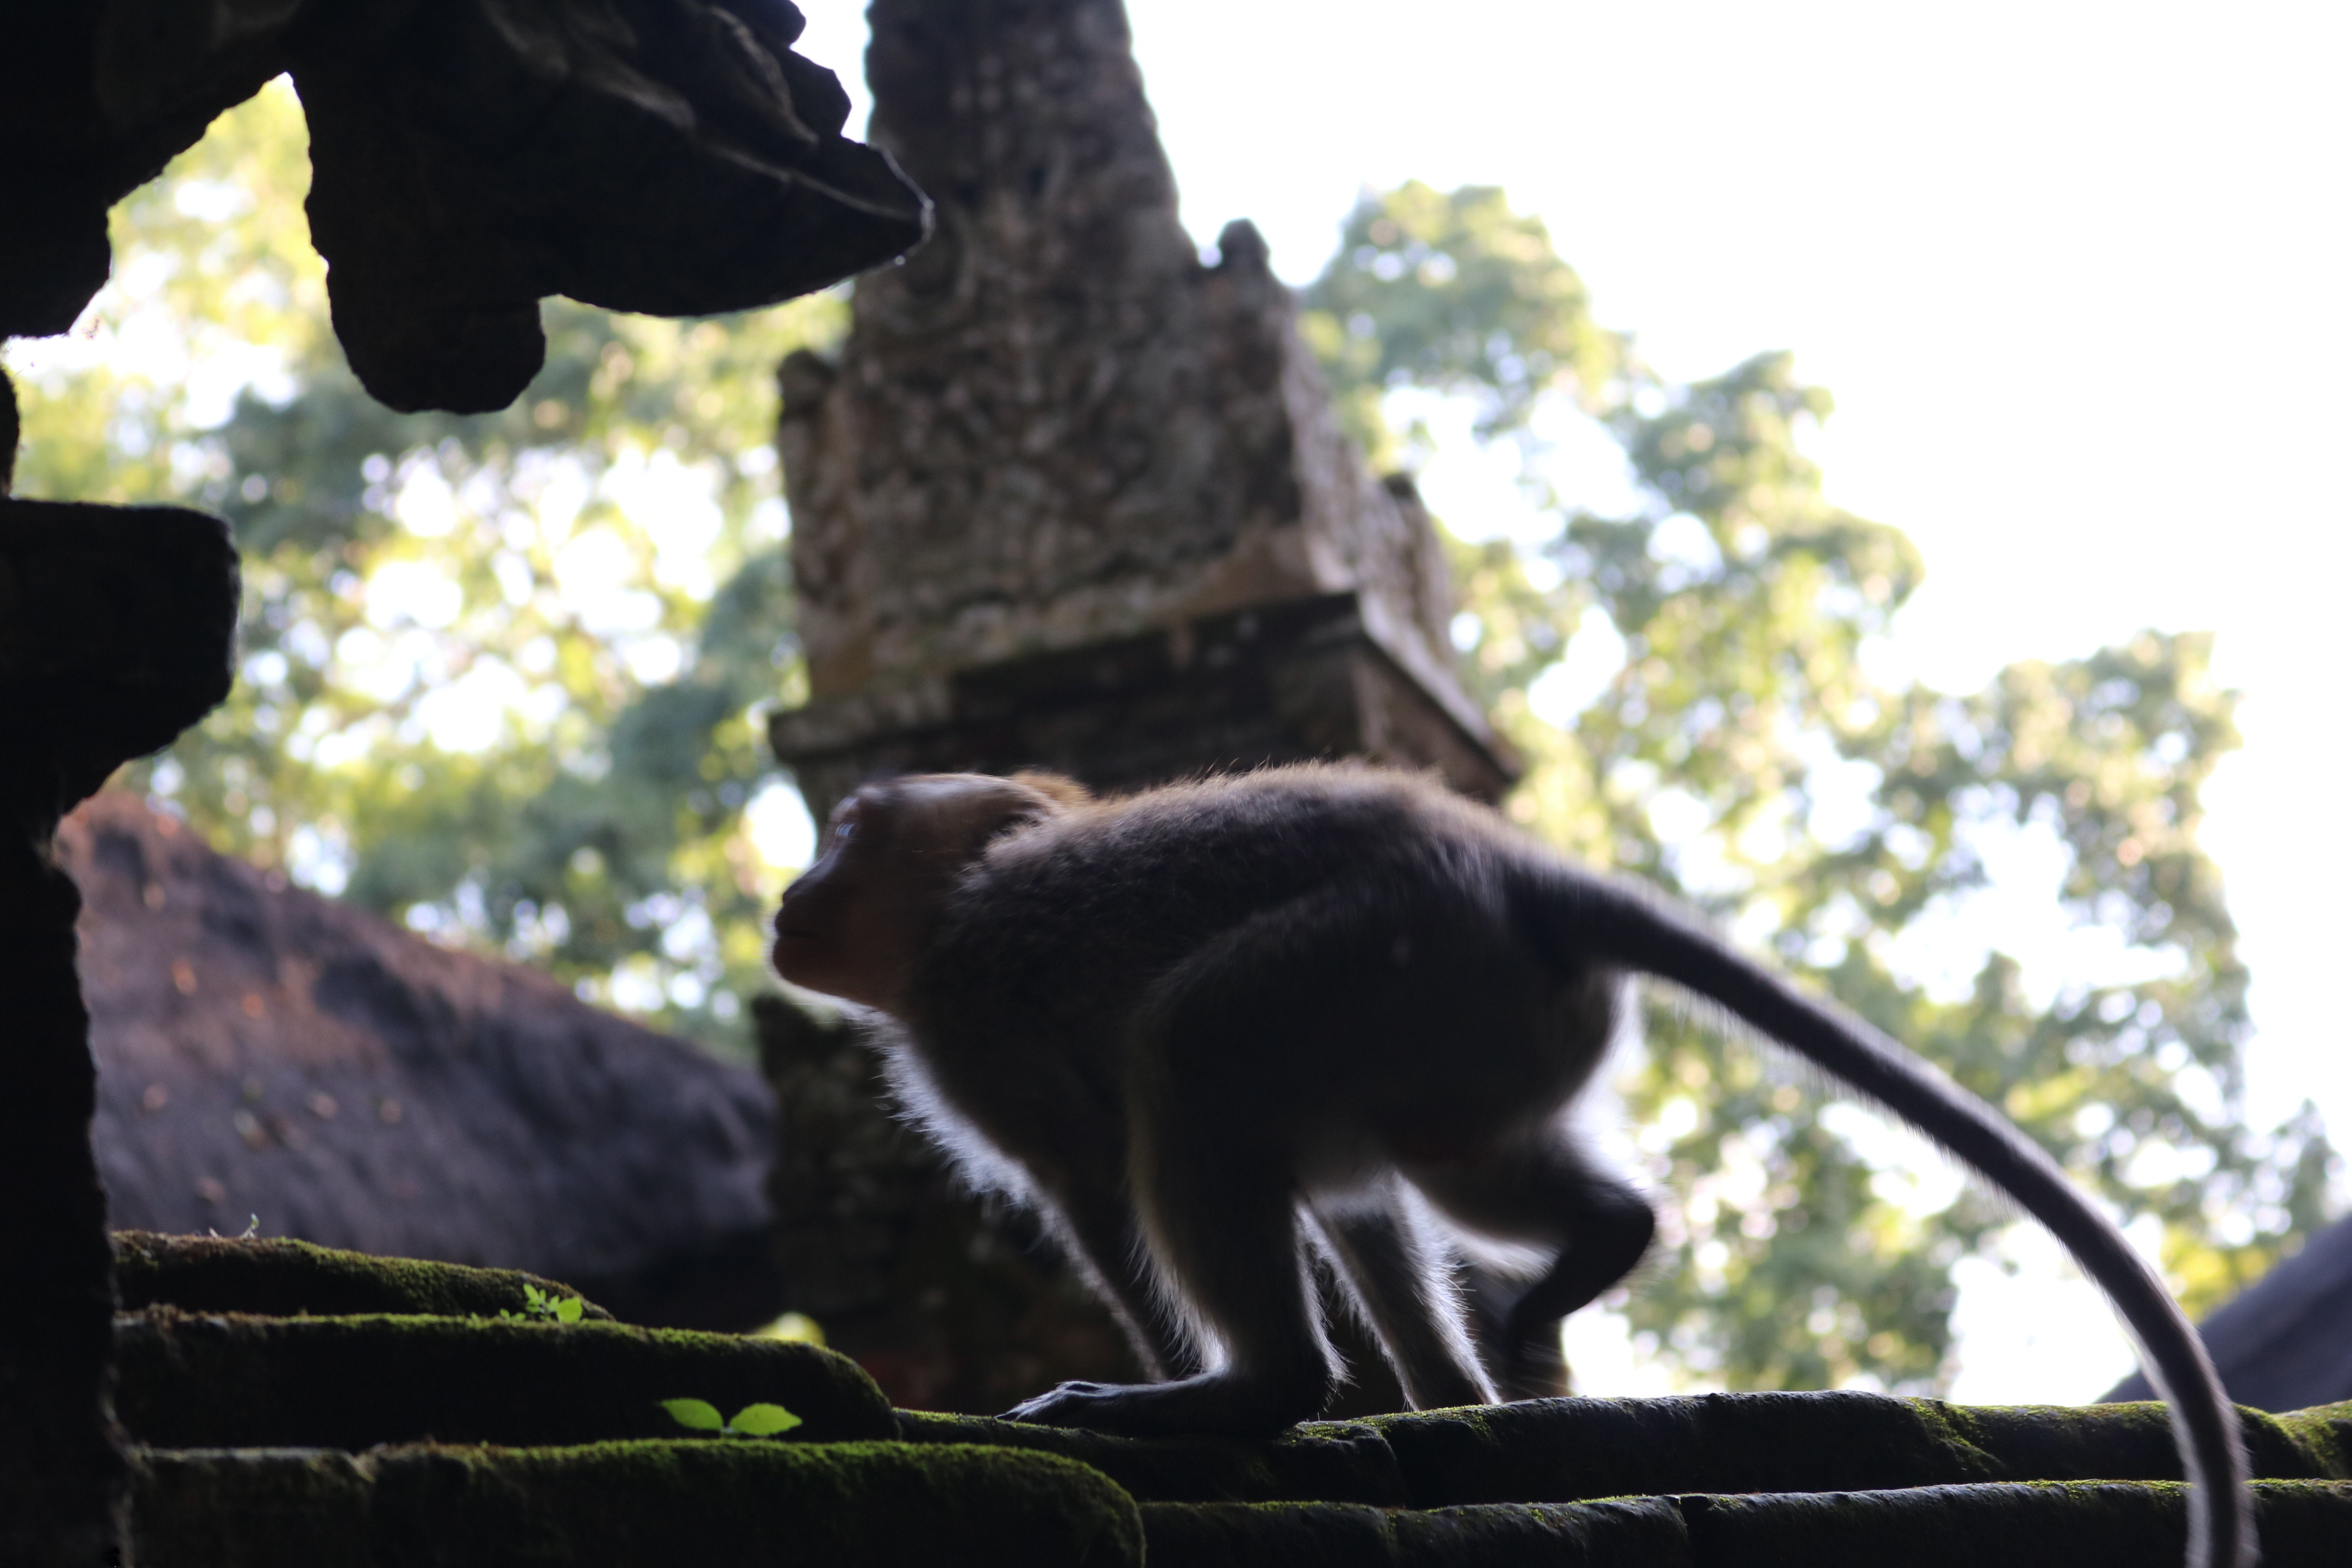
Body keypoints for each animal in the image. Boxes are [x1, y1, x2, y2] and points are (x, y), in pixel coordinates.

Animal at [770, 763, 2251, 1568]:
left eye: (844, 831)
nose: (787, 891)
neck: (944, 917)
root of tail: (1513, 868)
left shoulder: (972, 1031)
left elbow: (1095, 1187)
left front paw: (1172, 1384)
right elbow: (1357, 1205)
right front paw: (1440, 1396)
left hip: (1369, 956)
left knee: (1187, 1058)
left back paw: (1259, 1389)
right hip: (1472, 1012)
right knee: (1443, 1165)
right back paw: (1588, 1260)